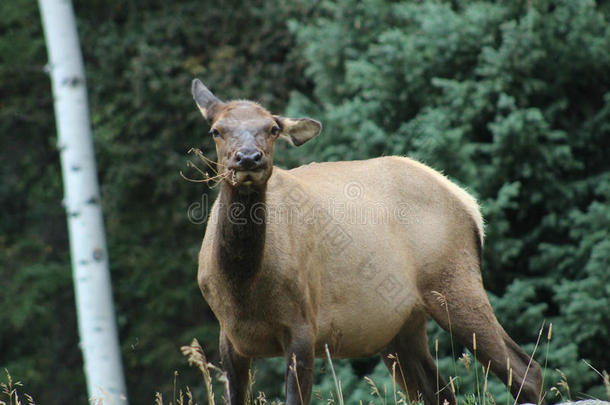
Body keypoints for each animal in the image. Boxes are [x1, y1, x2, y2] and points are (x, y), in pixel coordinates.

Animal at [191, 79, 540, 404]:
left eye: (273, 129)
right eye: (216, 130)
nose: (248, 158)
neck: (244, 287)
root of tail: (468, 203)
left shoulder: (303, 326)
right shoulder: (229, 338)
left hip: (454, 280)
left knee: (525, 370)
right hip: (401, 326)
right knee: (439, 390)